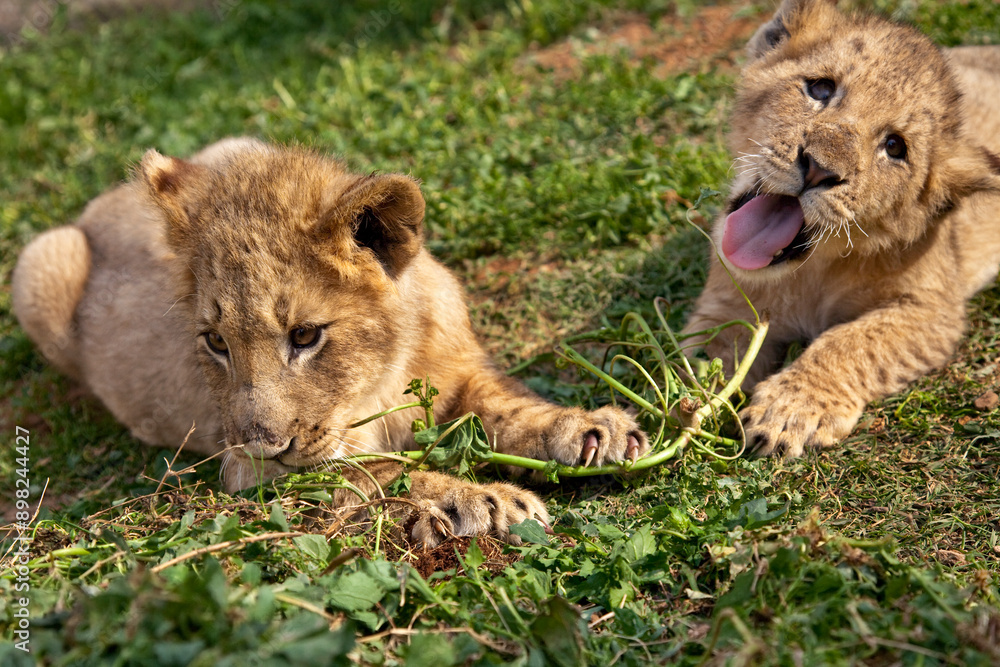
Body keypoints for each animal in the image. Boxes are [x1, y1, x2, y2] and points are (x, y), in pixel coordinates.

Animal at [11, 137, 648, 546]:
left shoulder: (461, 373)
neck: (380, 380)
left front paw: (592, 429)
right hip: (38, 263)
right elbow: (374, 471)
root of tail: (101, 203)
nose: (264, 445)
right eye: (216, 341)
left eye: (305, 335)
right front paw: (484, 500)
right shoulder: (249, 473)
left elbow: (507, 406)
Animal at [682, 0, 1000, 457]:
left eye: (894, 147)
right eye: (820, 89)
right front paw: (648, 417)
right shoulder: (728, 305)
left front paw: (788, 410)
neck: (810, 272)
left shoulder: (934, 311)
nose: (818, 168)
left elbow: (851, 341)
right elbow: (697, 360)